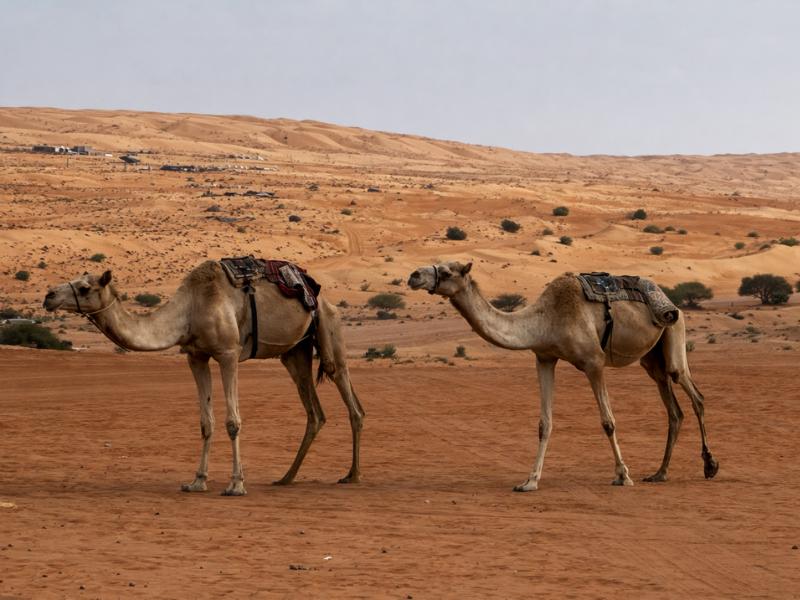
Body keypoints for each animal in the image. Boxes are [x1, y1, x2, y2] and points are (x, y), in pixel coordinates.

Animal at [43, 260, 364, 496]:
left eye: (84, 287)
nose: (48, 296)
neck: (189, 310)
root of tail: (319, 293)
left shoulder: (228, 353)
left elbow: (233, 421)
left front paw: (236, 485)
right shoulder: (195, 356)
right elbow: (205, 422)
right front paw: (197, 481)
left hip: (329, 329)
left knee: (350, 399)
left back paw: (352, 475)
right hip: (295, 353)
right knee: (315, 412)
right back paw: (286, 477)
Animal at [407, 261, 718, 491]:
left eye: (447, 271)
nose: (414, 275)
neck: (544, 320)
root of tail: (669, 299)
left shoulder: (594, 362)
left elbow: (608, 422)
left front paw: (623, 475)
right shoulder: (545, 358)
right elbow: (544, 423)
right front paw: (529, 481)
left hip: (674, 330)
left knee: (695, 395)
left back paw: (709, 465)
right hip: (651, 360)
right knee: (674, 409)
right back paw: (659, 473)